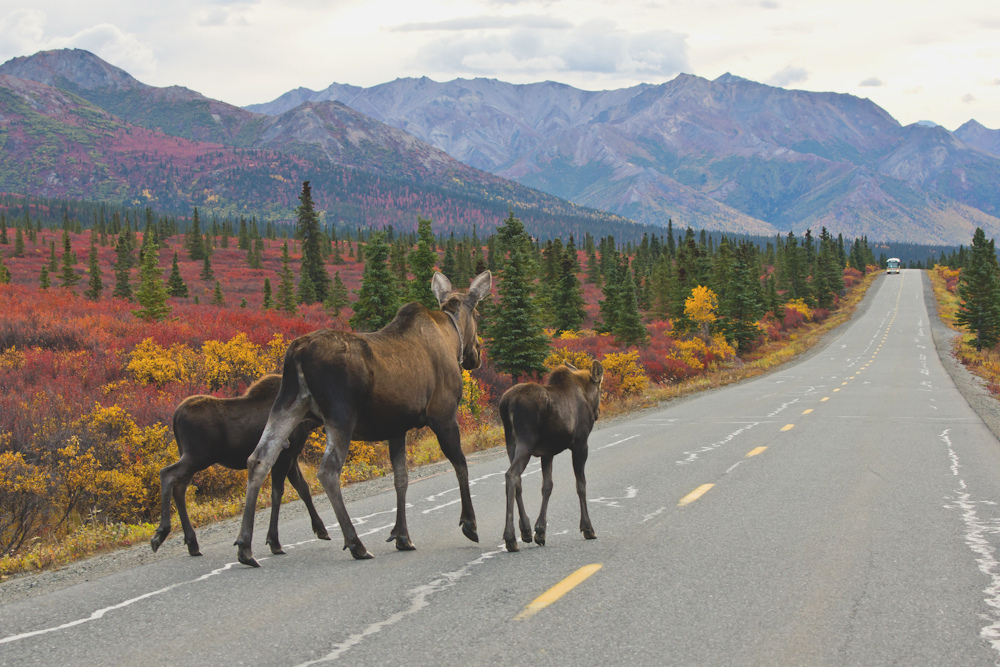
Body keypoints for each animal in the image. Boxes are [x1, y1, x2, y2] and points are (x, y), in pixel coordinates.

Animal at [150, 376, 328, 560]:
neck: (309, 417)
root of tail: (175, 416)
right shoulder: (284, 457)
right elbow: (278, 493)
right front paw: (274, 541)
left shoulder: (291, 458)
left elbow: (303, 489)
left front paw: (320, 529)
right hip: (197, 457)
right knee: (167, 474)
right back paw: (161, 533)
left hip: (189, 456)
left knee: (179, 488)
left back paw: (192, 543)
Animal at [239, 268, 496, 568]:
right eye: (478, 315)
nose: (476, 354)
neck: (452, 336)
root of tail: (297, 353)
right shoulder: (443, 416)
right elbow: (461, 464)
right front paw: (469, 524)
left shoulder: (397, 427)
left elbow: (401, 478)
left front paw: (402, 536)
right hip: (340, 414)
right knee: (328, 470)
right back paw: (356, 544)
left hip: (288, 405)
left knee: (259, 459)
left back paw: (246, 547)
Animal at [498, 360, 600, 552]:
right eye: (600, 388)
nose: (597, 413)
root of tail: (508, 403)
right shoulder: (580, 444)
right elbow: (581, 485)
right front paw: (588, 528)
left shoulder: (547, 453)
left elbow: (547, 486)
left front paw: (540, 531)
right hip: (526, 442)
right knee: (511, 475)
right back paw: (510, 538)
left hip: (511, 444)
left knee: (517, 480)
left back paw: (526, 530)